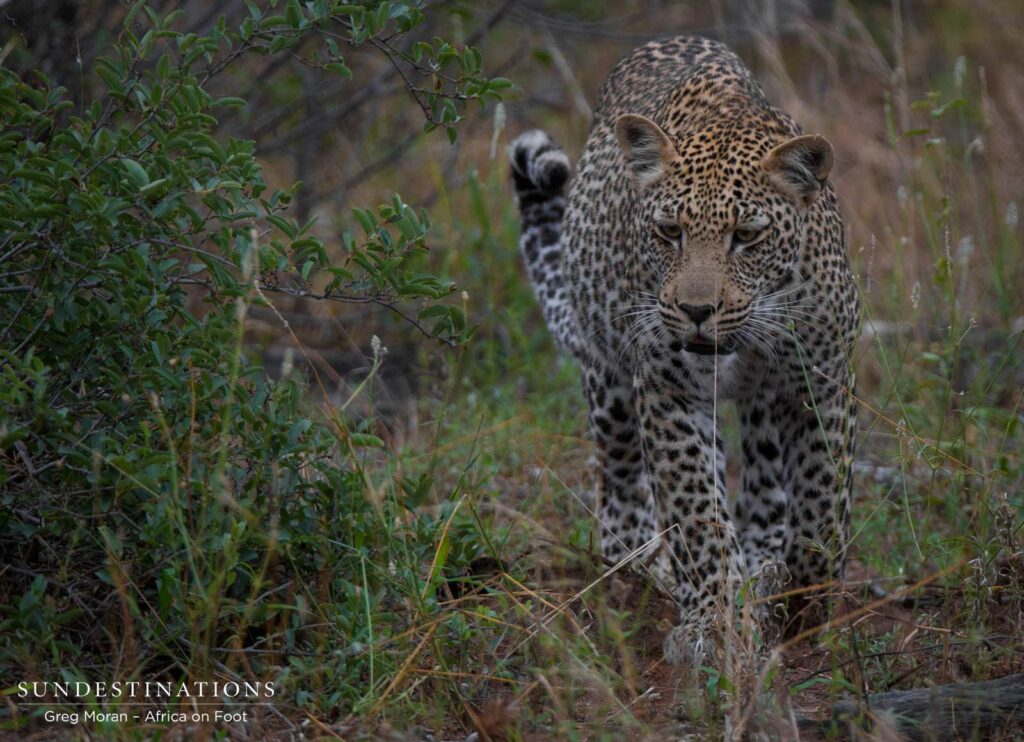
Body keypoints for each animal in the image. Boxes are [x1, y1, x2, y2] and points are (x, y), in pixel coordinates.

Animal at [510, 36, 859, 664]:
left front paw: (805, 602)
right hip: (609, 382)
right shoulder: (668, 391)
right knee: (622, 493)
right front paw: (714, 628)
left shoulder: (819, 380)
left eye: (747, 236)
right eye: (669, 232)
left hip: (761, 408)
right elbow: (698, 516)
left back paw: (763, 570)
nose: (697, 311)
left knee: (764, 486)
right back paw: (651, 569)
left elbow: (822, 506)